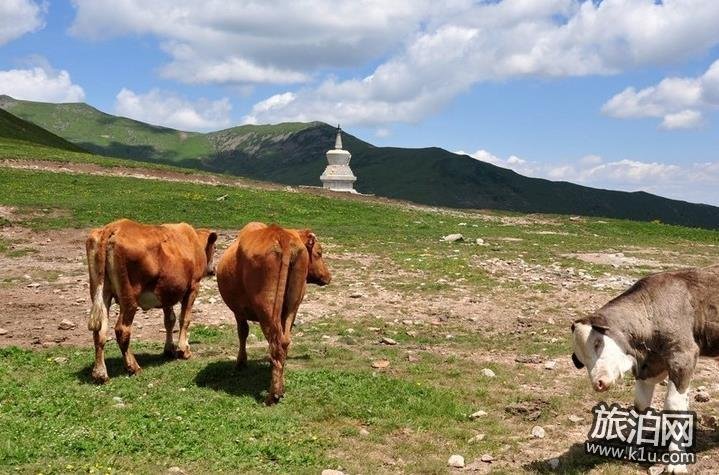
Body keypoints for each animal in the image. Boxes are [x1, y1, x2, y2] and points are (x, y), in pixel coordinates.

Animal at [86, 219, 217, 384]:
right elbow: (184, 319)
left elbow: (169, 320)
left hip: (102, 292)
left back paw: (100, 373)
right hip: (129, 299)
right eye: (215, 248)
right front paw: (184, 350)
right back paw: (133, 366)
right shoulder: (193, 287)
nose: (214, 269)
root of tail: (112, 227)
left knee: (100, 331)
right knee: (122, 330)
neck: (193, 241)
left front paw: (169, 349)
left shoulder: (167, 292)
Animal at [217, 223, 332, 406]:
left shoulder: (238, 311)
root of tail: (281, 234)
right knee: (284, 342)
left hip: (267, 308)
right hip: (292, 306)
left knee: (276, 344)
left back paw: (273, 395)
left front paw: (241, 362)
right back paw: (281, 389)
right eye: (319, 252)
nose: (328, 277)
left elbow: (242, 332)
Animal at [576, 266, 719, 474]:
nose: (598, 383)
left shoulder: (683, 355)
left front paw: (676, 463)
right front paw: (634, 449)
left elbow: (674, 408)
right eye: (580, 359)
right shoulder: (649, 367)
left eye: (597, 343)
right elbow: (640, 405)